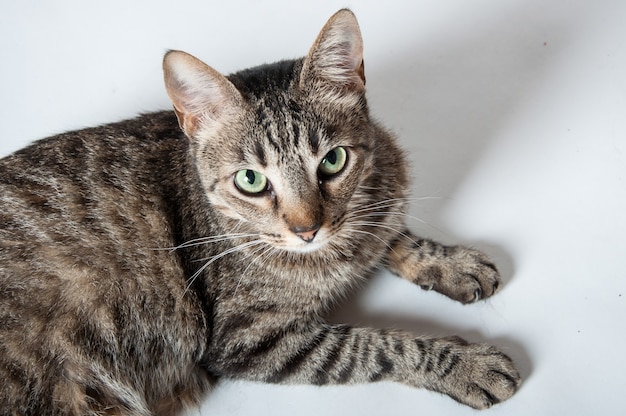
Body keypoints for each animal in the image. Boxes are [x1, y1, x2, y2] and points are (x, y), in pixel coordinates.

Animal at [0, 8, 516, 414]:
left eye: (333, 160)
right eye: (251, 180)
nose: (308, 229)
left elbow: (390, 233)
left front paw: (451, 262)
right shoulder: (250, 339)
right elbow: (373, 346)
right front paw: (463, 364)